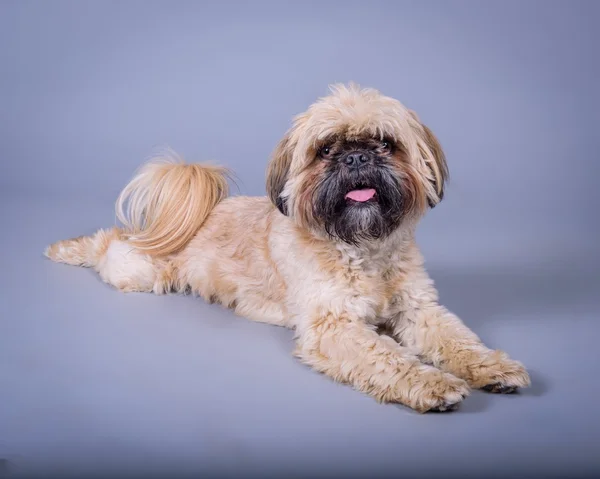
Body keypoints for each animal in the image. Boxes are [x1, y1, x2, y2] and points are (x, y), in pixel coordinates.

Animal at [47, 82, 528, 412]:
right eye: (326, 149)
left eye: (384, 143)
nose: (356, 158)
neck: (362, 247)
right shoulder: (333, 325)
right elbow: (390, 358)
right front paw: (433, 384)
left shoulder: (418, 308)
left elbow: (458, 340)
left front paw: (493, 367)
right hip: (141, 269)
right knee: (110, 242)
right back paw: (67, 249)